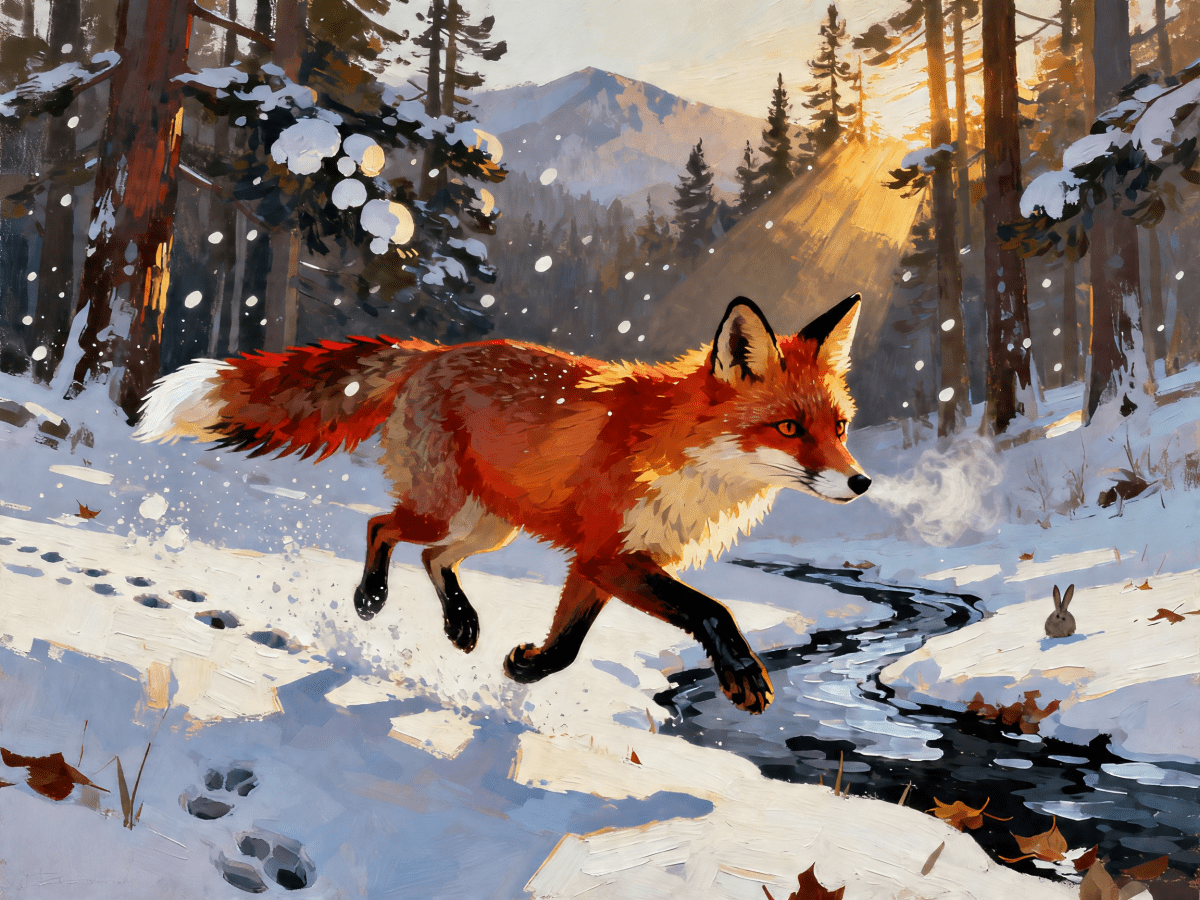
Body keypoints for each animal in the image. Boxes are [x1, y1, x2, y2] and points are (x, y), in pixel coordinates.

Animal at [133, 295, 870, 713]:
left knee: (433, 557)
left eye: (839, 428)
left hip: (491, 527)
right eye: (789, 428)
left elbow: (568, 647)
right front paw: (744, 673)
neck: (688, 459)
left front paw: (525, 667)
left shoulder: (599, 563)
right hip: (445, 507)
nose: (861, 484)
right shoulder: (610, 554)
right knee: (381, 526)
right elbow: (711, 609)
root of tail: (430, 352)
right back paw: (370, 598)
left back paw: (460, 623)